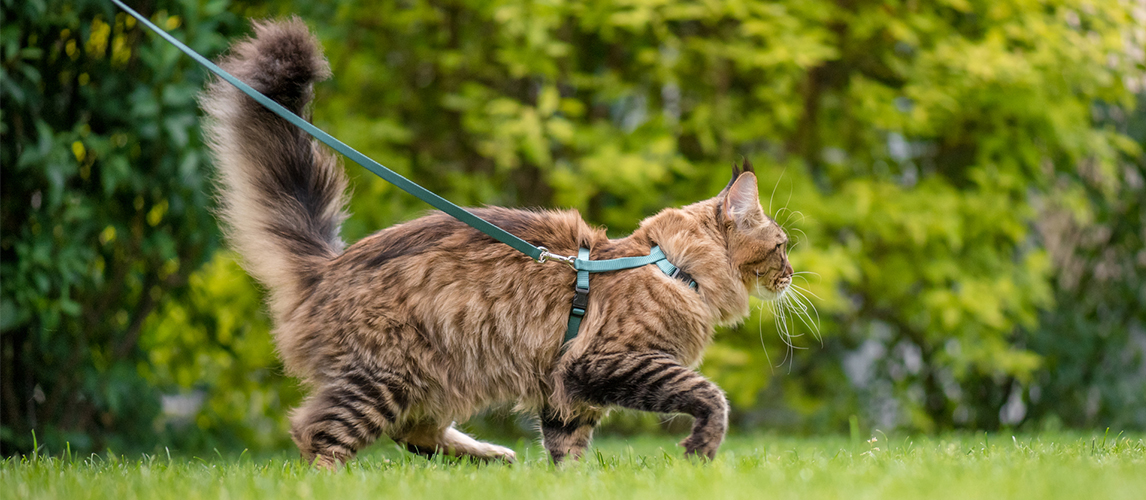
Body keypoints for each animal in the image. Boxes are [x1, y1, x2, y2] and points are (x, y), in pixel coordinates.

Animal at [201, 17, 793, 467]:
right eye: (783, 246)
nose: (791, 274)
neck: (670, 266)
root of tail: (327, 265)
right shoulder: (607, 362)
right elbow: (710, 396)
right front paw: (701, 450)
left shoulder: (565, 388)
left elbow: (568, 450)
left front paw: (573, 485)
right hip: (382, 379)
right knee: (316, 435)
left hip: (433, 381)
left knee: (414, 435)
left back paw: (493, 458)